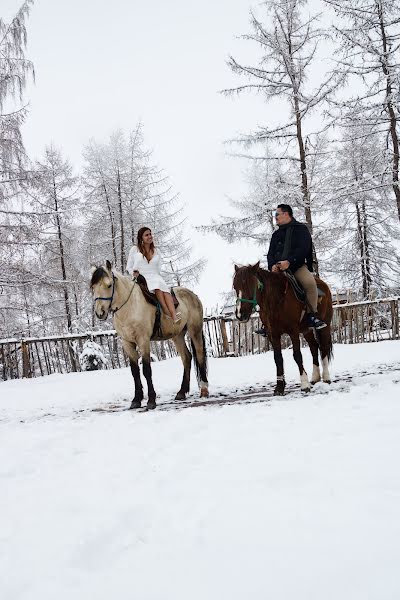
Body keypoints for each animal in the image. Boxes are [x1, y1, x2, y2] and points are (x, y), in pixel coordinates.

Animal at [91, 260, 209, 410]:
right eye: (93, 287)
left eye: (109, 285)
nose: (99, 312)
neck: (130, 307)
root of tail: (193, 295)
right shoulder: (127, 343)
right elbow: (135, 371)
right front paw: (136, 399)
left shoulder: (143, 341)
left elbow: (146, 369)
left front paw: (151, 400)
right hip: (177, 336)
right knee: (187, 358)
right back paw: (181, 392)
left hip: (195, 331)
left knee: (199, 355)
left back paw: (204, 389)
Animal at [233, 264, 332, 396]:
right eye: (235, 286)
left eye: (250, 284)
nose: (240, 315)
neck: (277, 300)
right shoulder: (273, 334)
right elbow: (278, 358)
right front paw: (279, 387)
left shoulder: (293, 331)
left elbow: (297, 355)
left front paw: (304, 384)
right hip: (306, 330)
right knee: (314, 347)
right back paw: (315, 377)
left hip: (325, 326)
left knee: (323, 347)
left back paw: (326, 377)